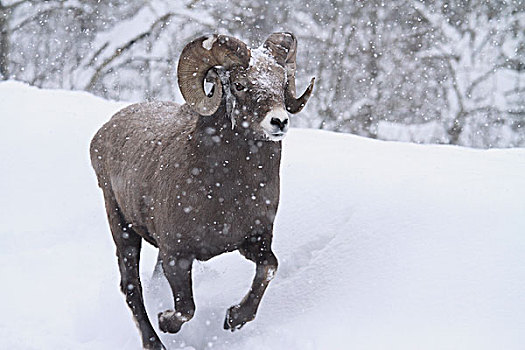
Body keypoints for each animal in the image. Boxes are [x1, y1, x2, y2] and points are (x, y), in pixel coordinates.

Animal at [89, 32, 316, 350]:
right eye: (239, 84)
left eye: (281, 80)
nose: (279, 121)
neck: (225, 192)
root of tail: (103, 132)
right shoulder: (177, 255)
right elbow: (186, 308)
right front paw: (166, 321)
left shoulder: (254, 241)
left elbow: (269, 267)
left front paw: (234, 319)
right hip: (122, 227)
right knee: (132, 288)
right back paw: (155, 342)